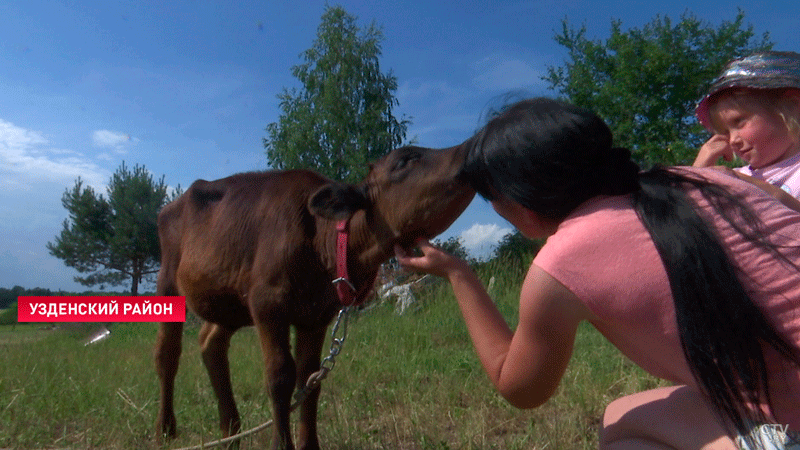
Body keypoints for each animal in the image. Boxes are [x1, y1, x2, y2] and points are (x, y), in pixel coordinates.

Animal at [153, 145, 472, 450]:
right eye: (403, 161)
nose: (468, 151)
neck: (321, 242)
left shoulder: (315, 316)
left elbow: (310, 379)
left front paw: (310, 444)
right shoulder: (267, 304)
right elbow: (280, 377)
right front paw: (281, 444)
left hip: (228, 300)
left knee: (211, 344)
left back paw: (231, 433)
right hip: (168, 280)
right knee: (167, 353)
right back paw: (165, 430)